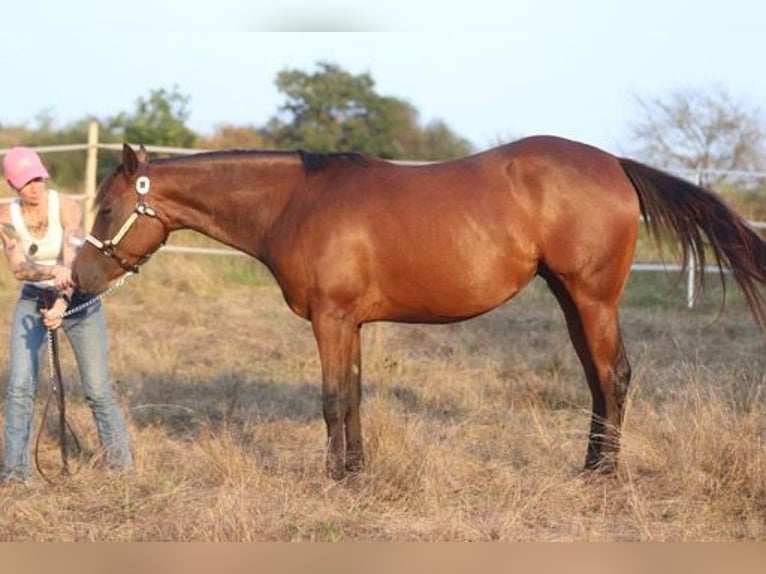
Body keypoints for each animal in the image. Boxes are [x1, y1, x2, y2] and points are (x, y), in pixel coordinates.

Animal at [72, 137, 766, 480]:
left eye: (105, 209)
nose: (78, 279)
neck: (296, 201)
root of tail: (613, 164)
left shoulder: (330, 319)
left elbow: (331, 399)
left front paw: (335, 477)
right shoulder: (349, 323)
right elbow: (352, 396)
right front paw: (356, 470)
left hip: (592, 298)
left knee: (615, 376)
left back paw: (604, 472)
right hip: (571, 300)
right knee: (599, 381)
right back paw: (590, 463)